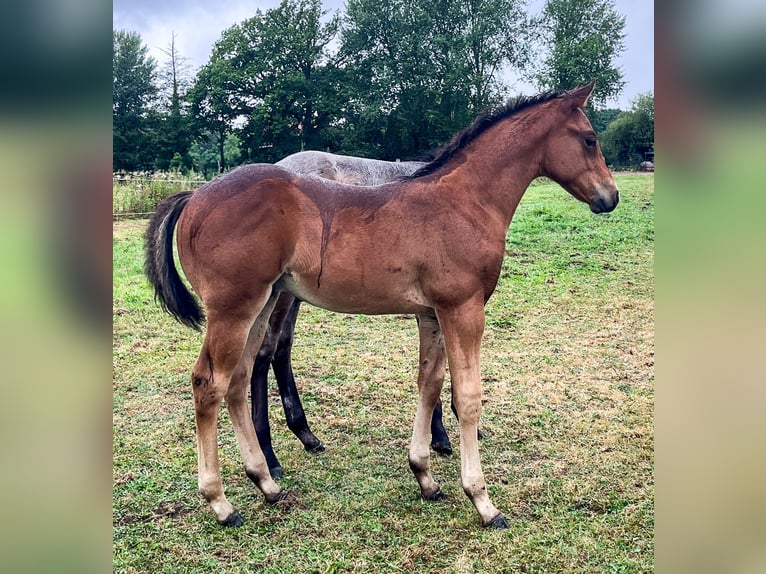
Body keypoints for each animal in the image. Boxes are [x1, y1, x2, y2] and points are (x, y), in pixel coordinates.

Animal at [144, 82, 618, 529]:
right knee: (209, 384)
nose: (610, 197)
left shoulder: (431, 314)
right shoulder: (463, 309)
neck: (464, 201)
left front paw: (425, 476)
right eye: (590, 139)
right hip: (234, 309)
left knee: (240, 380)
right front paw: (482, 501)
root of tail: (194, 196)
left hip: (261, 305)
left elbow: (429, 384)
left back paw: (267, 482)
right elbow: (467, 397)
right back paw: (221, 503)